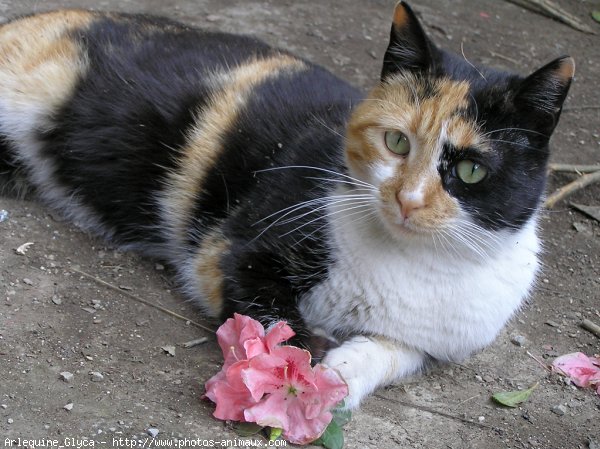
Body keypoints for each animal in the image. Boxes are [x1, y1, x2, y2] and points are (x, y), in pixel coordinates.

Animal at [0, 1, 576, 408]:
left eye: (471, 170)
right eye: (396, 142)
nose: (407, 199)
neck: (407, 262)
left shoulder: (431, 345)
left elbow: (386, 354)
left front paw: (338, 375)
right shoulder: (231, 247)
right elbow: (269, 318)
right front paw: (301, 360)